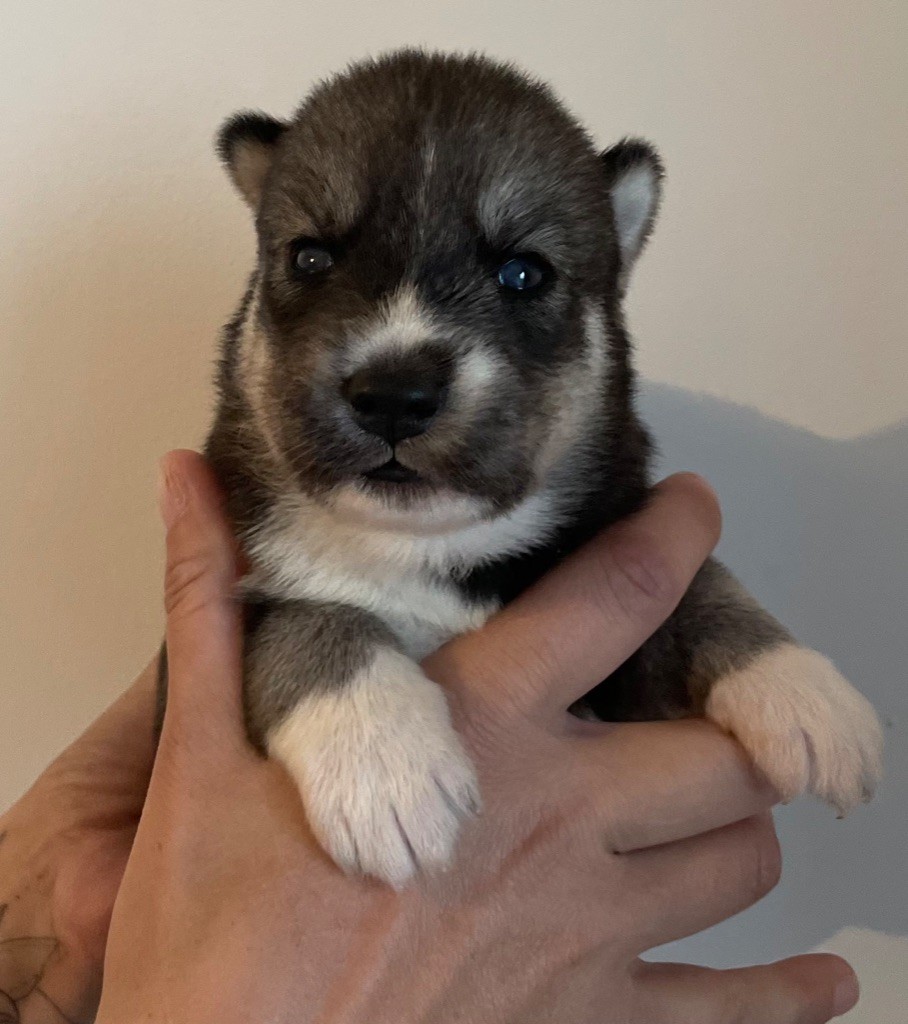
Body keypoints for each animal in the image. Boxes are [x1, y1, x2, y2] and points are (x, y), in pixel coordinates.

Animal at [159, 48, 883, 888]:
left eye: (524, 274)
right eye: (311, 257)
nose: (395, 396)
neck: (430, 552)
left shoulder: (615, 552)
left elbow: (701, 590)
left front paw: (801, 688)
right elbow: (311, 613)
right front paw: (382, 765)